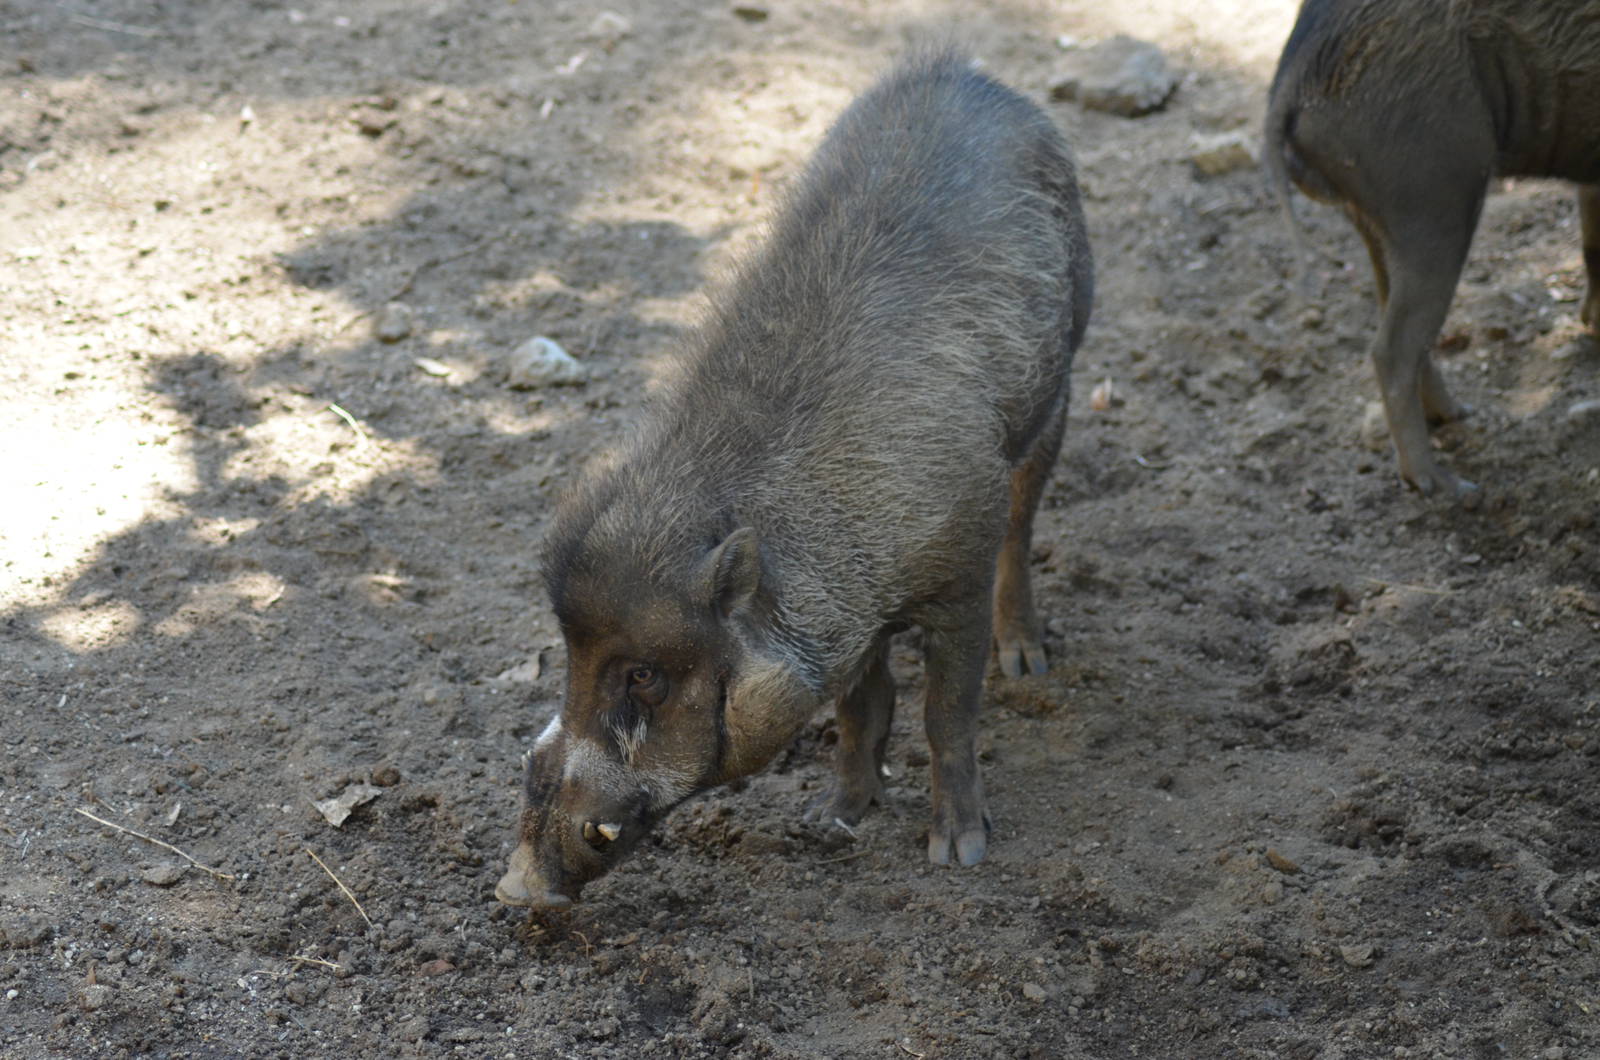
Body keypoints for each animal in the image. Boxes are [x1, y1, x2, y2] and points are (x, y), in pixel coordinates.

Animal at [495, 50, 1093, 909]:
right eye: (569, 657)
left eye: (644, 674)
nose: (516, 888)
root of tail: (963, 68)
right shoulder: (850, 618)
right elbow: (860, 705)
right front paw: (833, 817)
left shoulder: (958, 575)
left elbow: (948, 713)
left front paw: (957, 855)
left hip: (1061, 382)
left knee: (1023, 524)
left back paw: (1028, 663)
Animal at [1264, 0, 1600, 497]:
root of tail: (1289, 80)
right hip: (1437, 201)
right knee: (1393, 347)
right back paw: (1444, 485)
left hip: (1382, 219)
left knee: (1392, 316)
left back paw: (1458, 417)